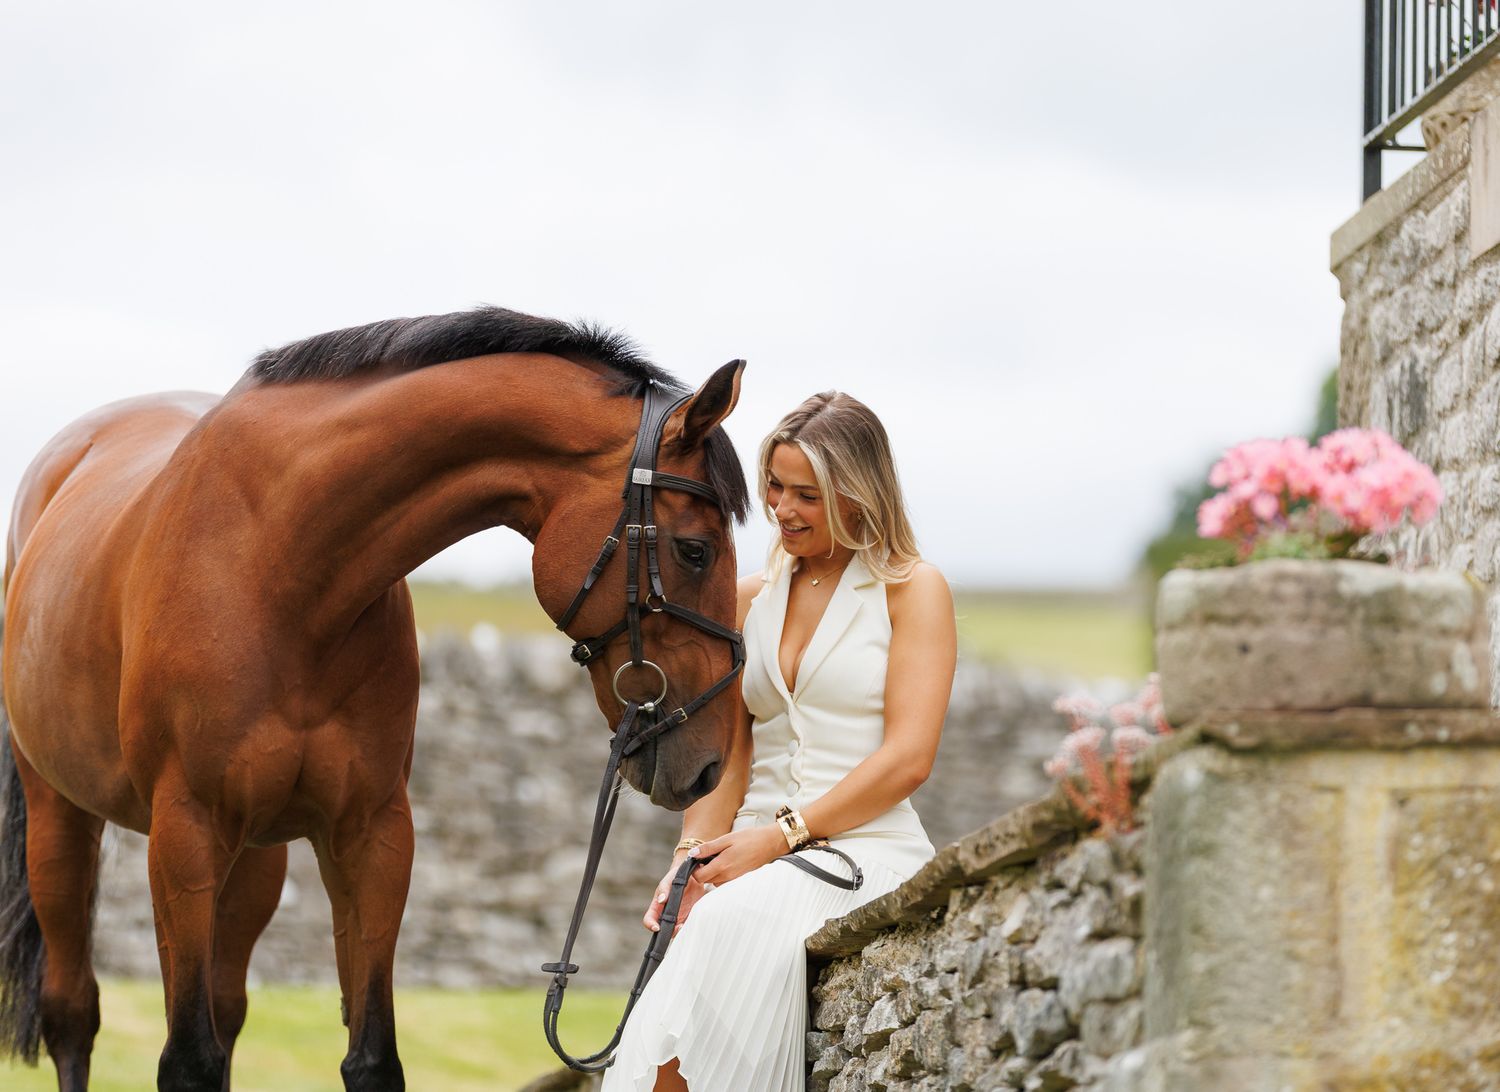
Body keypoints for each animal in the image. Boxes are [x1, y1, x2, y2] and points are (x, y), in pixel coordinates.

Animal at [0, 307, 750, 1091]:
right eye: (696, 550)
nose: (710, 763)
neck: (281, 567)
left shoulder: (371, 836)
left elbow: (370, 1056)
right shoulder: (185, 834)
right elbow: (188, 1060)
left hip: (255, 861)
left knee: (228, 1008)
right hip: (61, 822)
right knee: (72, 1013)